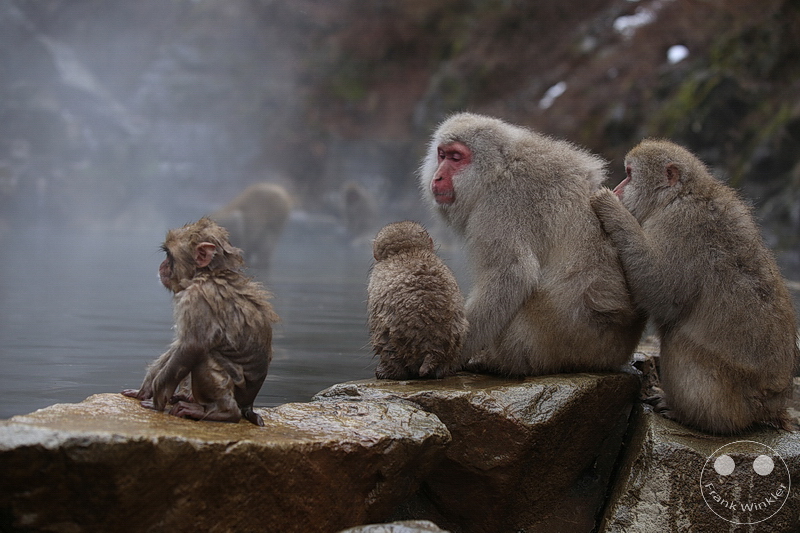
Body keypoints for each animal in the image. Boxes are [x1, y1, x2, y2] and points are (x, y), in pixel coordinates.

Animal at [122, 217, 279, 426]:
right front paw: (146, 389)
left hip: (239, 390)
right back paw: (186, 398)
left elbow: (191, 346)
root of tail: (249, 404)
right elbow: (179, 346)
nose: (162, 265)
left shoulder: (197, 298)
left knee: (204, 356)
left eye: (169, 255)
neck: (208, 273)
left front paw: (157, 402)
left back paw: (222, 412)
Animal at [419, 112, 644, 377]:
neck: (498, 171)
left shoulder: (503, 202)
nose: (438, 176)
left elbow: (512, 273)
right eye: (441, 155)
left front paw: (450, 356)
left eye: (456, 158)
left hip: (556, 340)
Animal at [590, 139, 799, 434]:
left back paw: (689, 415)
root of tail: (774, 402)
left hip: (734, 399)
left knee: (678, 339)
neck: (677, 196)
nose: (619, 189)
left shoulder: (680, 224)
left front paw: (610, 207)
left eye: (629, 174)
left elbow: (663, 291)